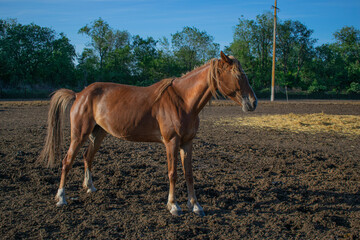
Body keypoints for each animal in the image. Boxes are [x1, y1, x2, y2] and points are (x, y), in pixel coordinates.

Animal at [39, 51, 258, 217]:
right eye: (238, 75)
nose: (253, 103)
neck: (183, 101)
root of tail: (79, 94)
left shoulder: (187, 143)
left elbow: (189, 174)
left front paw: (195, 205)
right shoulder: (171, 142)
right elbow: (173, 173)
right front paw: (174, 206)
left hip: (98, 134)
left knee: (87, 157)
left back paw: (90, 187)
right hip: (79, 134)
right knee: (67, 161)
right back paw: (61, 198)